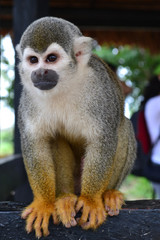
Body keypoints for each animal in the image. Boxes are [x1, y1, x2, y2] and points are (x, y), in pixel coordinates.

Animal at [16, 17, 136, 238]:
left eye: (51, 58)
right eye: (33, 60)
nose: (40, 72)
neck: (65, 84)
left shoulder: (99, 90)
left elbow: (102, 138)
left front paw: (90, 200)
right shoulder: (28, 97)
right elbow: (36, 143)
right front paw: (44, 203)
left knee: (122, 127)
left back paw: (109, 193)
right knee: (55, 138)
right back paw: (65, 197)